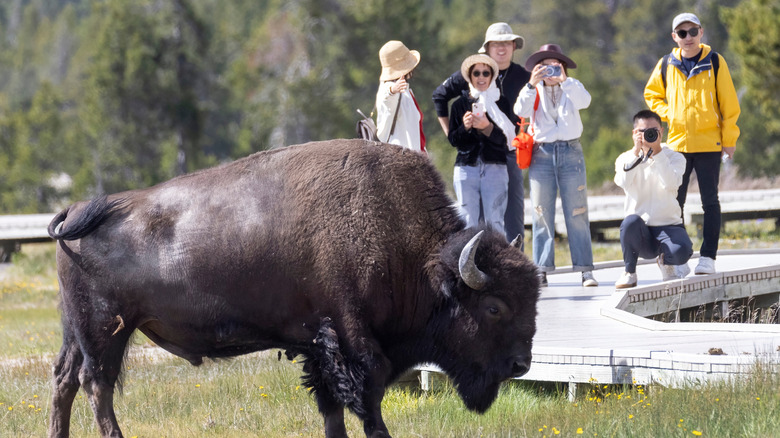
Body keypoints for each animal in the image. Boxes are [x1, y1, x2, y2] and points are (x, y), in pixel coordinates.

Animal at [47, 139, 540, 438]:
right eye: (494, 307)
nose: (521, 364)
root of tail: (77, 211)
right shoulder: (353, 343)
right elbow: (368, 404)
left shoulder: (317, 347)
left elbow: (331, 408)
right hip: (106, 330)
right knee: (96, 384)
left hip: (77, 331)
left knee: (65, 380)